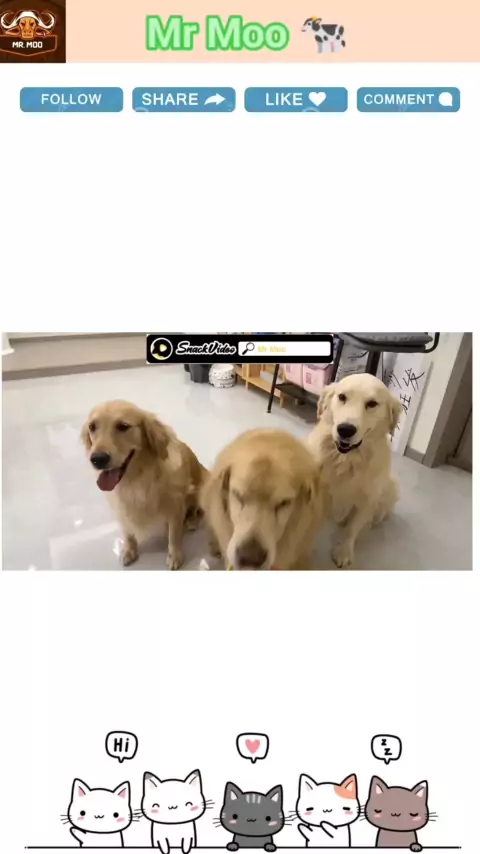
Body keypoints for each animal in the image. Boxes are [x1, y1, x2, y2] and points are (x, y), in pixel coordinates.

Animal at [81, 400, 207, 569]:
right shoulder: (121, 507)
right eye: (92, 427)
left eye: (123, 426)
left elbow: (173, 536)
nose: (97, 459)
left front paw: (175, 556)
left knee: (198, 511)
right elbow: (127, 533)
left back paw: (192, 521)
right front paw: (129, 550)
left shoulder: (175, 508)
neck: (136, 478)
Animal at [308, 373, 403, 568]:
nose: (345, 429)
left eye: (372, 403)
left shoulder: (368, 499)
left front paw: (344, 550)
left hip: (391, 487)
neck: (347, 459)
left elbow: (353, 528)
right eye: (342, 397)